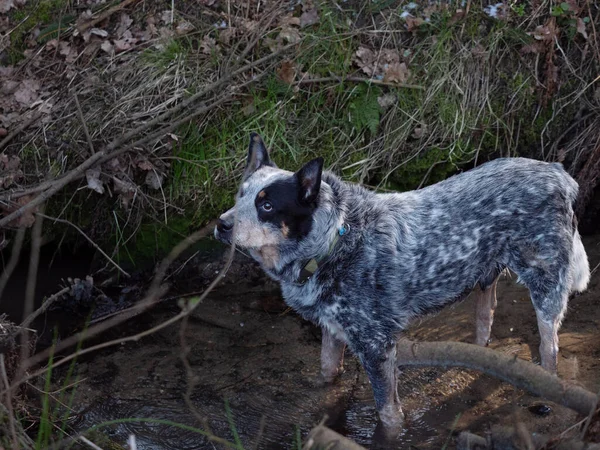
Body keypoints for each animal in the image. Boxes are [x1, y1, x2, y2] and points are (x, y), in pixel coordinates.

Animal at [214, 132, 592, 428]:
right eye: (240, 195)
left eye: (266, 206)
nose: (221, 224)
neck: (333, 241)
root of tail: (560, 174)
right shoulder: (333, 332)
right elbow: (327, 375)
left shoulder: (376, 345)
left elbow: (389, 415)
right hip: (486, 276)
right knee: (485, 320)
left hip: (546, 283)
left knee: (549, 347)